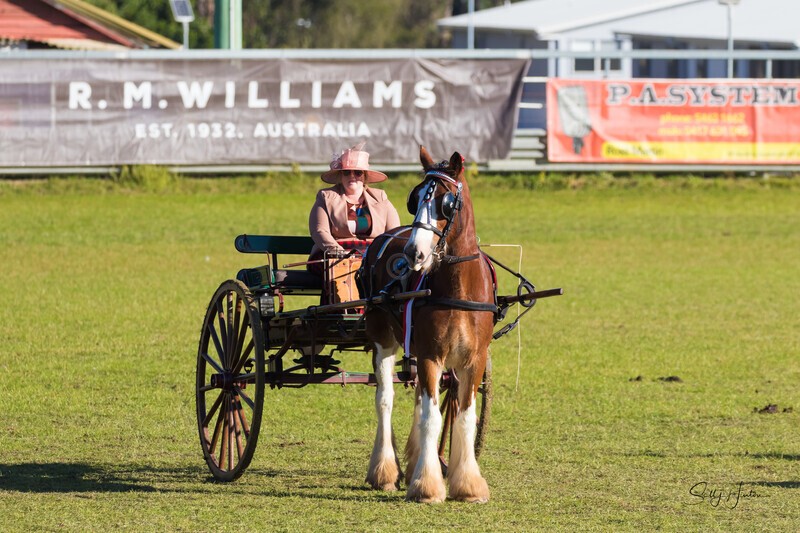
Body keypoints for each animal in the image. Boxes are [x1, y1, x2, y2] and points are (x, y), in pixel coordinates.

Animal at [360, 146, 495, 503]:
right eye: (416, 198)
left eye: (445, 202)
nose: (414, 253)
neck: (458, 287)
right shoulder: (431, 356)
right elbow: (431, 417)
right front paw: (426, 486)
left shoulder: (473, 360)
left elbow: (463, 417)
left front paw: (467, 485)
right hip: (384, 340)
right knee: (385, 399)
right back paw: (385, 470)